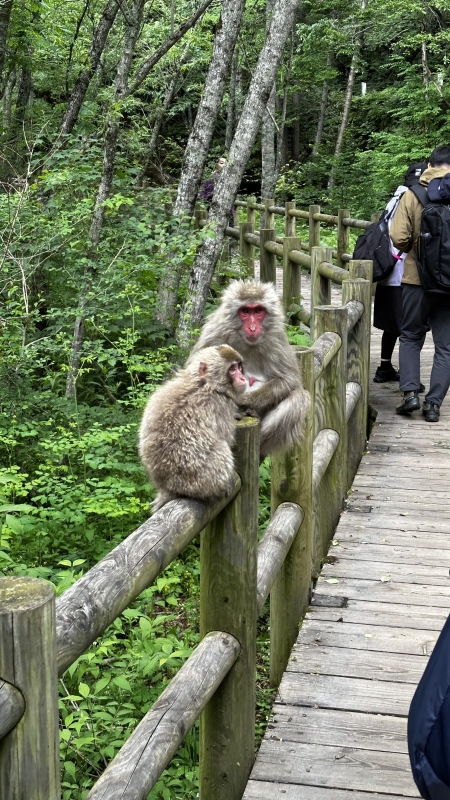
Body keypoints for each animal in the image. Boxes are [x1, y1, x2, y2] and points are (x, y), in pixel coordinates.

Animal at [139, 346, 248, 512]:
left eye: (239, 366)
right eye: (232, 369)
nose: (243, 378)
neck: (204, 383)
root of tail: (169, 487)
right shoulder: (222, 405)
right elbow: (226, 438)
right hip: (202, 482)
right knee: (222, 449)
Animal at [189, 280, 310, 456]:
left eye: (258, 310)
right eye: (245, 311)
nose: (252, 328)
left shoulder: (276, 338)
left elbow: (289, 380)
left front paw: (242, 400)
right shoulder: (215, 331)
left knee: (300, 397)